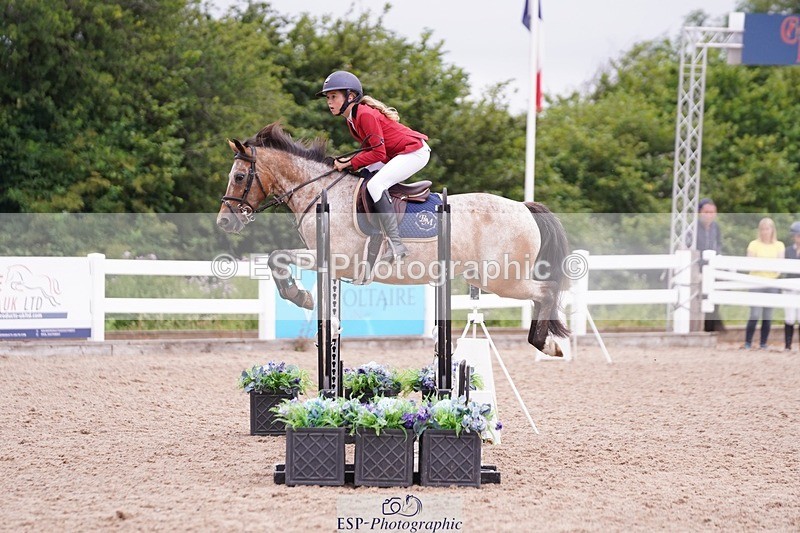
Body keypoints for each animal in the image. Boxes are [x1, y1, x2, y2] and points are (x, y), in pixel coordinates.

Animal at [216, 123, 570, 356]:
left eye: (239, 177)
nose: (224, 221)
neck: (321, 190)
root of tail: (524, 207)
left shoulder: (335, 258)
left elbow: (277, 257)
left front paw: (299, 295)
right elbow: (277, 258)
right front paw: (300, 295)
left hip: (500, 277)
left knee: (546, 291)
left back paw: (547, 344)